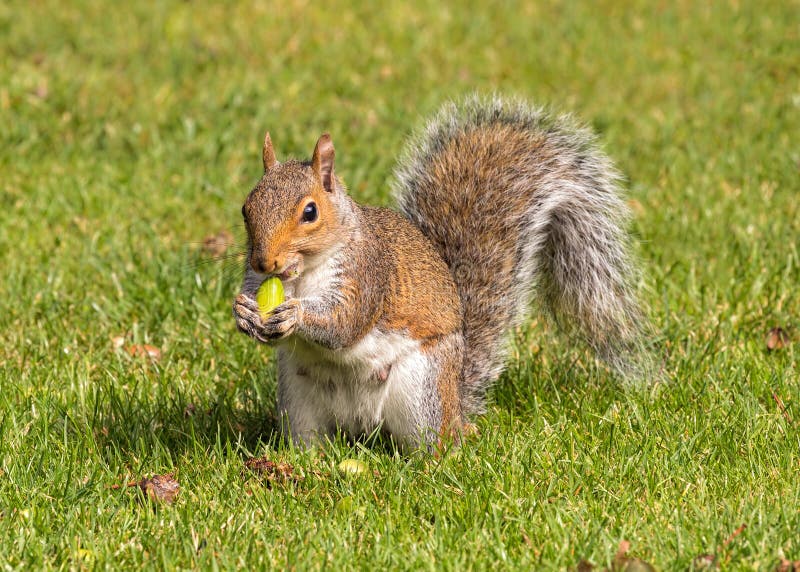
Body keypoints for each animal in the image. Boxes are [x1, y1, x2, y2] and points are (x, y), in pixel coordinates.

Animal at [231, 96, 644, 450]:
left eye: (310, 212)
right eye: (246, 207)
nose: (265, 263)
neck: (301, 275)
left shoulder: (367, 273)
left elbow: (344, 321)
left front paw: (296, 314)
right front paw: (243, 312)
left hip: (423, 390)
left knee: (437, 444)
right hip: (299, 401)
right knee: (311, 440)